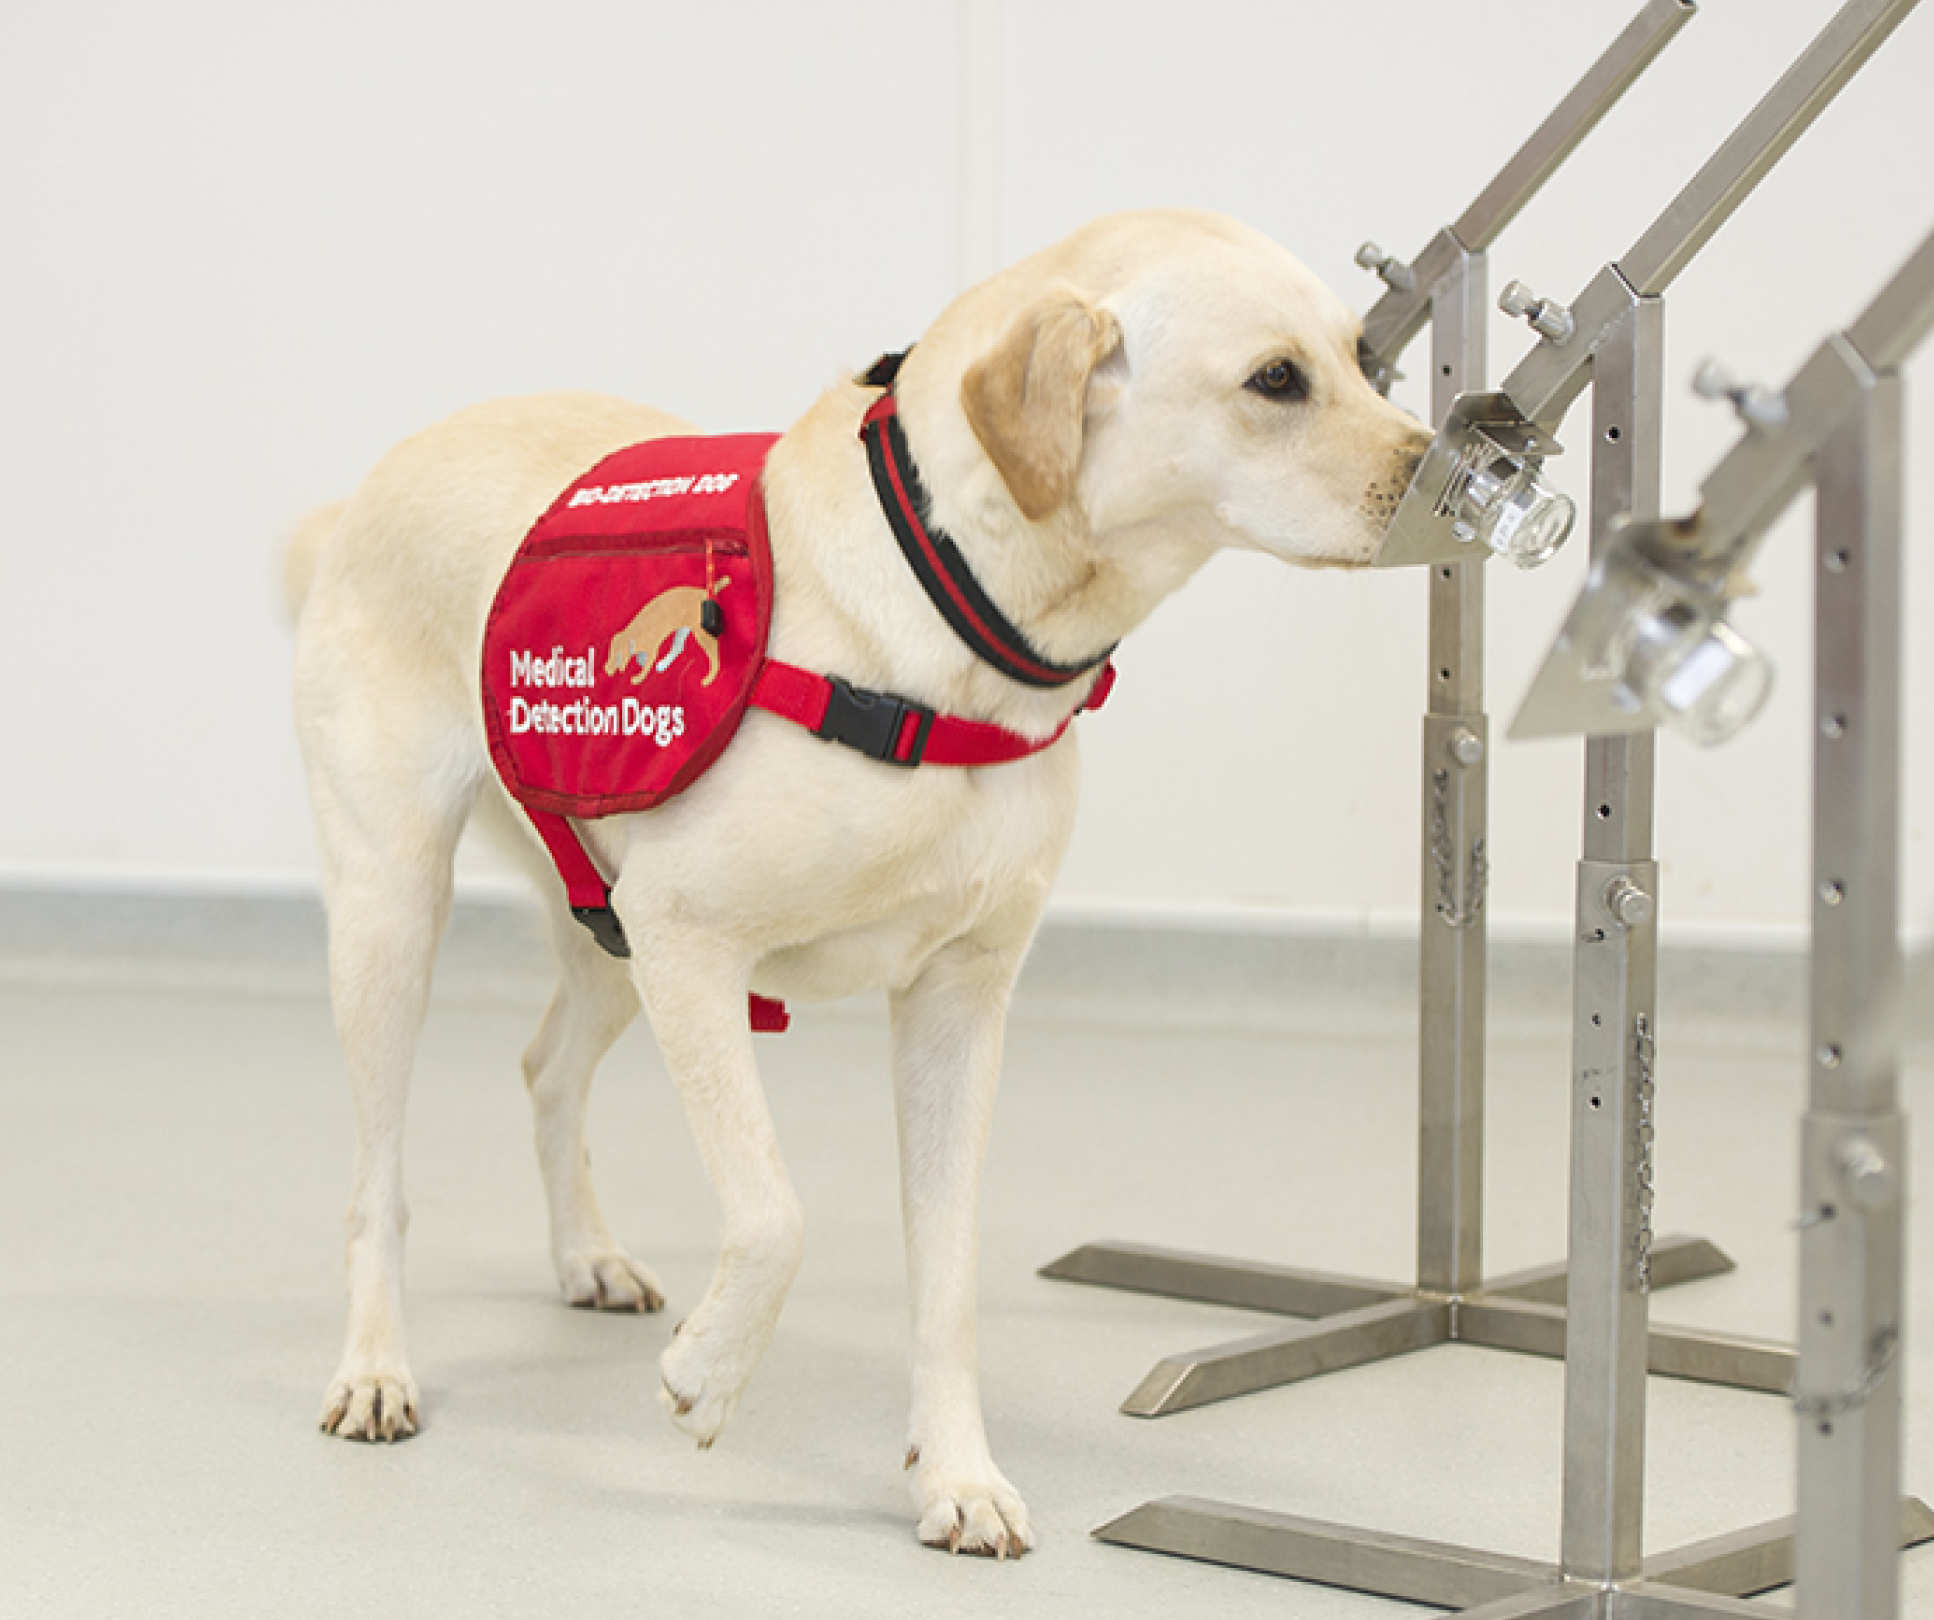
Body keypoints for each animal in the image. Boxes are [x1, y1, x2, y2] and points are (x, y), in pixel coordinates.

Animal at [290, 209, 1438, 1554]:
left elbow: (945, 1281)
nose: (1446, 473)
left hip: (604, 919)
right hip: (395, 912)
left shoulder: (953, 1004)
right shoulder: (690, 940)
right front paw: (709, 1377)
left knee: (545, 1070)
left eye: (1363, 358)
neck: (951, 618)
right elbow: (774, 1214)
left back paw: (587, 1257)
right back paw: (376, 1367)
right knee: (377, 1182)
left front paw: (956, 1475)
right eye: (1274, 381)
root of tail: (372, 483)